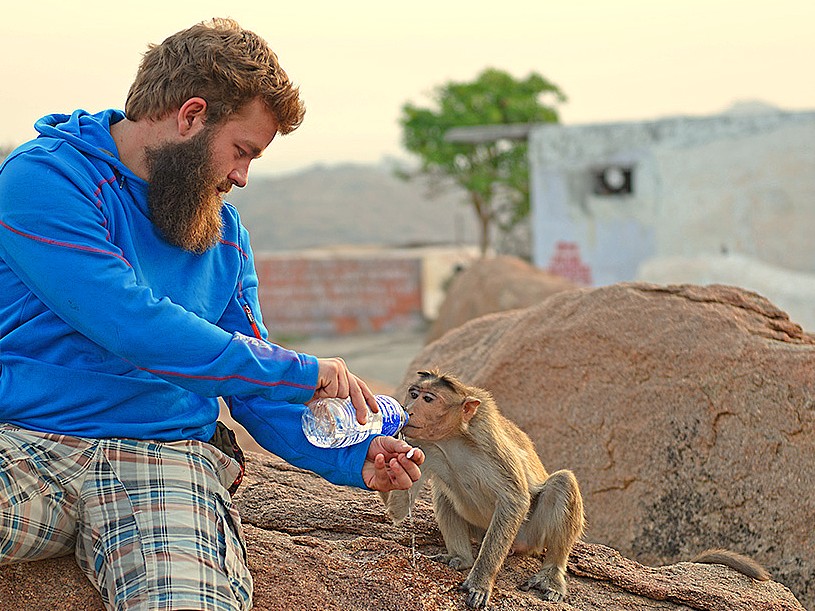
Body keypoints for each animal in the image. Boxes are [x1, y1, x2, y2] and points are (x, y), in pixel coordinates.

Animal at [381, 369, 585, 609]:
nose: (408, 409)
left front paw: (480, 582)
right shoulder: (419, 445)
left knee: (563, 482)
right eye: (413, 394)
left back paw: (551, 574)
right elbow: (400, 510)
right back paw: (462, 559)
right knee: (443, 494)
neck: (451, 439)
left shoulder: (489, 441)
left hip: (530, 534)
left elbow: (515, 500)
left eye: (428, 399)